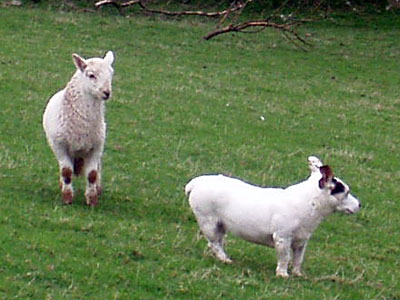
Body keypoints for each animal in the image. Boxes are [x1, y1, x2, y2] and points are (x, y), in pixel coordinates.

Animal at [44, 51, 115, 206]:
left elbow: (92, 174)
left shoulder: (96, 147)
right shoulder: (60, 145)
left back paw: (98, 188)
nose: (106, 93)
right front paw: (67, 197)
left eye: (111, 74)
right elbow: (66, 171)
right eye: (91, 75)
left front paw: (92, 199)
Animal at [186, 156, 360, 278]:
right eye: (346, 192)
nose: (359, 205)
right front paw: (282, 274)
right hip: (208, 221)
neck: (310, 203)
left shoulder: (301, 242)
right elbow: (284, 258)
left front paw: (297, 274)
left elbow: (298, 259)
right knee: (214, 243)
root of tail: (195, 183)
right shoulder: (283, 238)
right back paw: (225, 259)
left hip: (220, 225)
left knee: (218, 242)